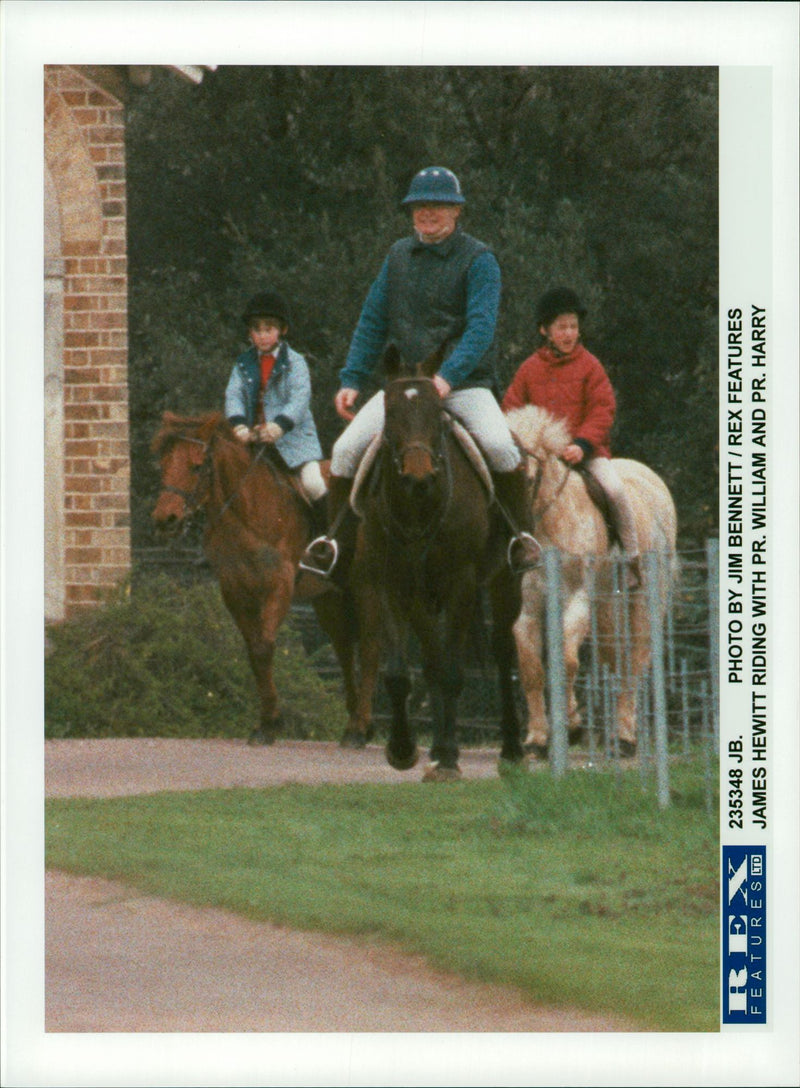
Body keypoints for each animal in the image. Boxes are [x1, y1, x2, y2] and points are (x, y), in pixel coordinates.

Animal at [152, 409, 378, 748]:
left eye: (197, 466)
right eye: (163, 465)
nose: (165, 520)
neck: (248, 512)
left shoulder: (278, 588)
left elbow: (263, 647)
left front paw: (272, 722)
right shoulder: (235, 592)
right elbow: (253, 652)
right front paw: (265, 723)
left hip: (368, 590)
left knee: (369, 648)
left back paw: (360, 728)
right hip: (329, 598)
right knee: (344, 650)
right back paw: (353, 724)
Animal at [507, 406, 674, 757]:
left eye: (527, 479)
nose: (522, 548)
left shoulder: (579, 600)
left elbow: (567, 661)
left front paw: (572, 727)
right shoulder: (527, 610)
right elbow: (531, 669)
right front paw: (537, 740)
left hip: (641, 603)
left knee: (634, 662)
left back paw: (624, 739)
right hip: (608, 607)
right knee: (614, 658)